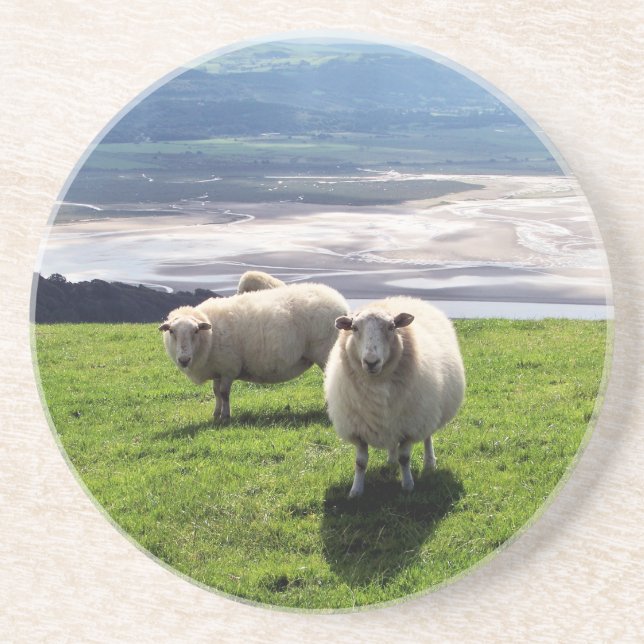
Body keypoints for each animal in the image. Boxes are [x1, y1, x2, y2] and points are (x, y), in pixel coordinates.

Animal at [159, 282, 349, 422]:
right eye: (172, 331)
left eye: (196, 331)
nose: (184, 360)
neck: (210, 336)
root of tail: (339, 301)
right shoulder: (218, 368)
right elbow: (216, 393)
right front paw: (216, 414)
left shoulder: (229, 368)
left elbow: (224, 393)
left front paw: (226, 416)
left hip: (325, 352)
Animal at [323, 296, 465, 497]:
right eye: (354, 327)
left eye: (391, 327)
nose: (371, 362)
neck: (377, 383)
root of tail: (403, 298)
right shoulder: (358, 429)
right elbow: (360, 463)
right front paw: (356, 491)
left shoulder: (410, 425)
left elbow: (404, 458)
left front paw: (408, 485)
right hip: (393, 420)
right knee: (392, 442)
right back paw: (391, 460)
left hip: (427, 412)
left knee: (427, 437)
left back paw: (429, 463)